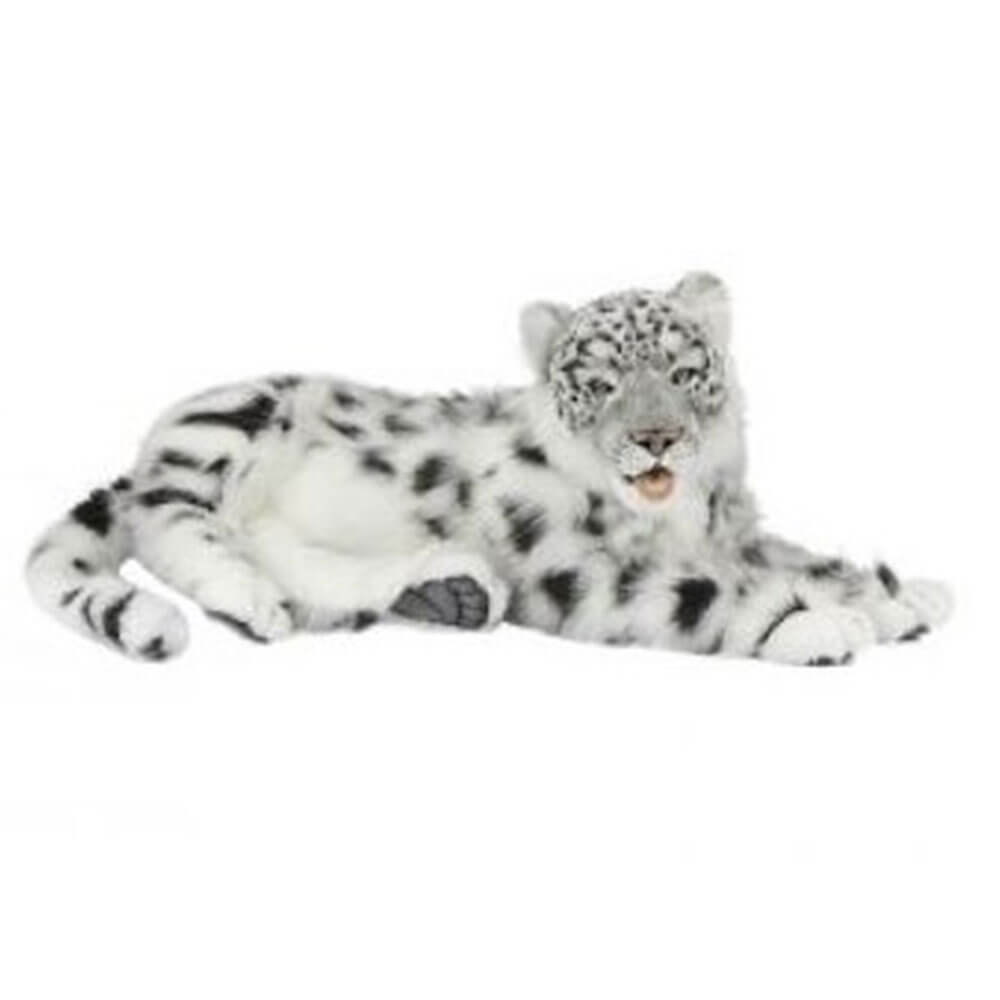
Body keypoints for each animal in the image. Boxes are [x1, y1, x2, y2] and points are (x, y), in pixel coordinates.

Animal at [26, 272, 953, 664]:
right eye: (602, 380)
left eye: (684, 369)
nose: (656, 437)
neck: (682, 517)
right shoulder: (573, 568)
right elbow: (708, 594)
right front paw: (824, 623)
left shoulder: (737, 533)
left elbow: (798, 557)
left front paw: (903, 596)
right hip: (229, 423)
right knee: (177, 522)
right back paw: (241, 596)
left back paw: (447, 590)